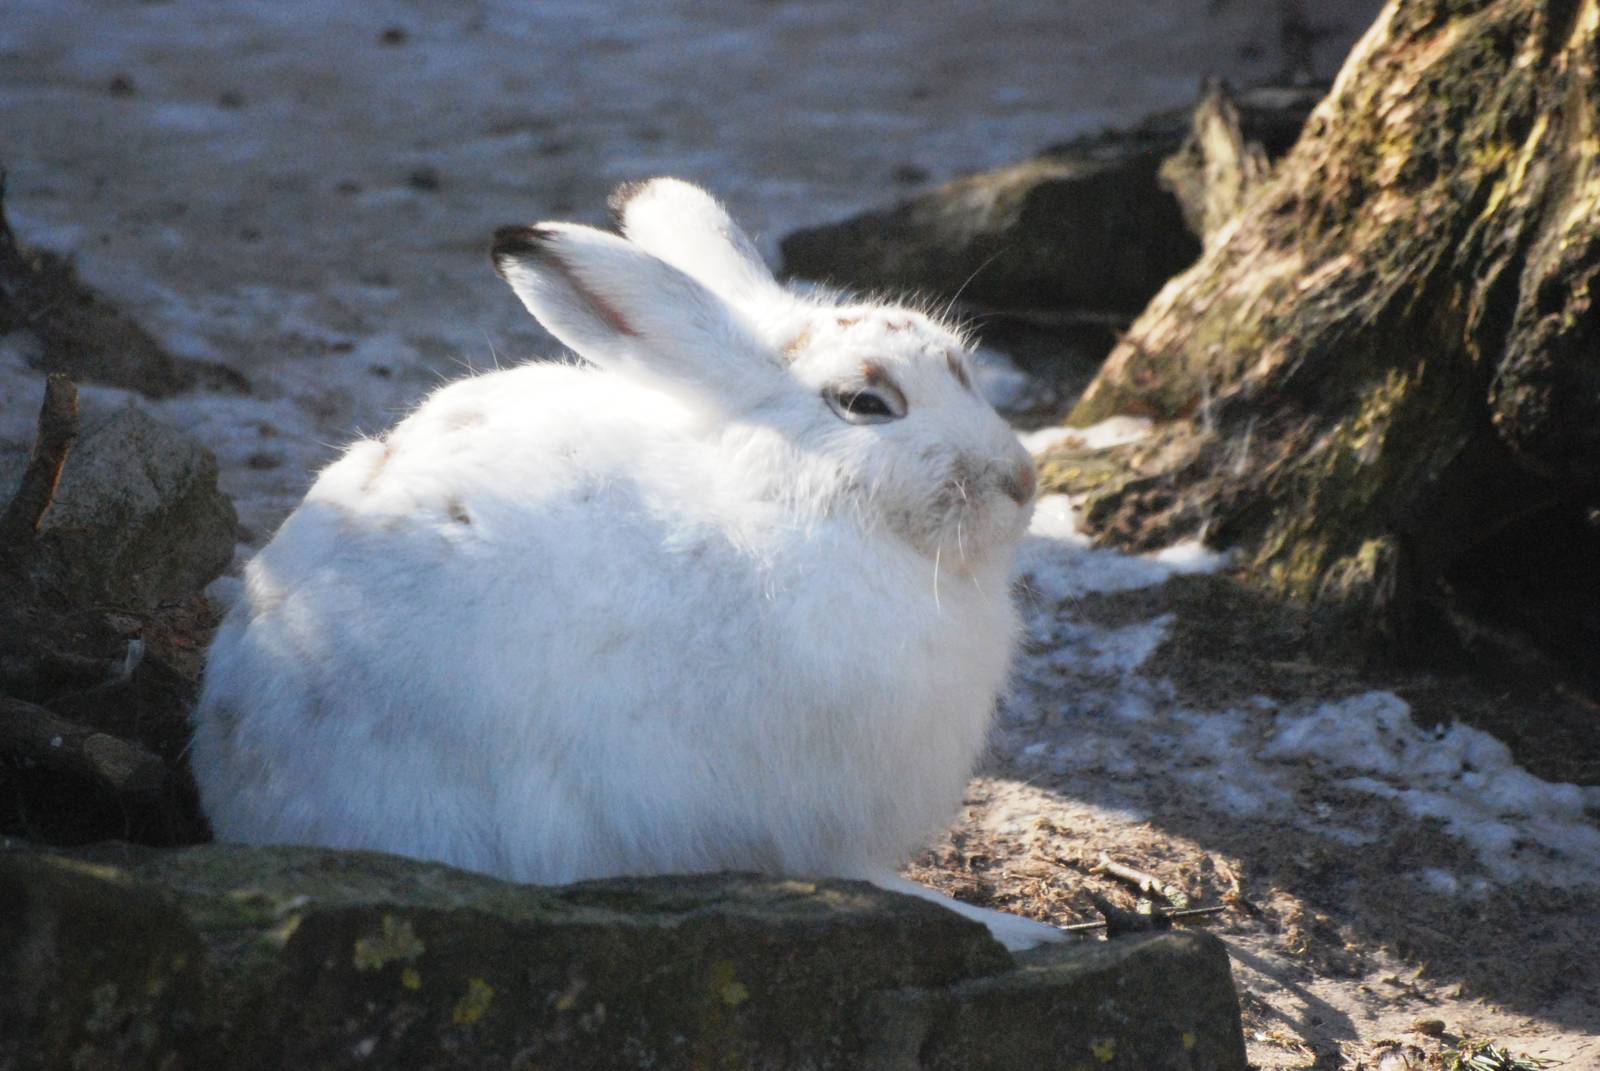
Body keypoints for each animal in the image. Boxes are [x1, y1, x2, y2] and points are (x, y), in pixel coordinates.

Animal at [190, 178, 1062, 952]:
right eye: (865, 404)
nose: (1022, 481)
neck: (797, 502)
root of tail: (235, 779)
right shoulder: (810, 808)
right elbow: (853, 871)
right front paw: (1011, 926)